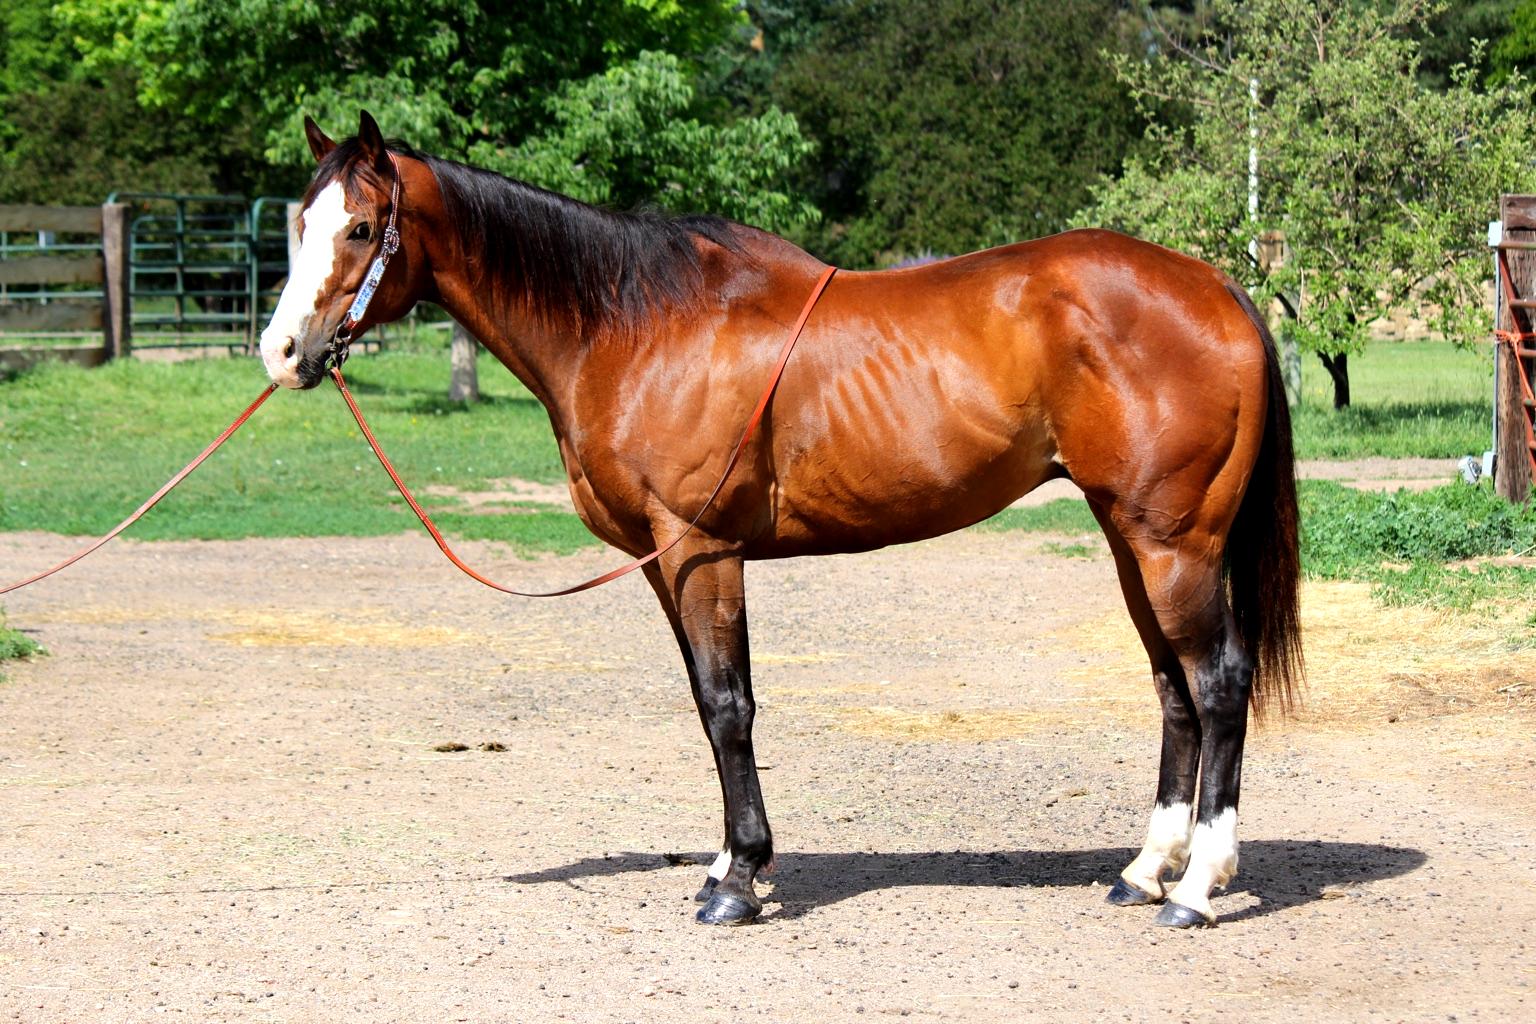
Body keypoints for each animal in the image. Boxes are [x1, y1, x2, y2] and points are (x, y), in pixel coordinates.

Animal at [259, 111, 1302, 929]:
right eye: (299, 222)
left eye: (361, 227)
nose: (282, 352)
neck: (636, 327)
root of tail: (1218, 287)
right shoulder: (662, 564)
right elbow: (706, 701)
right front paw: (728, 864)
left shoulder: (702, 551)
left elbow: (730, 707)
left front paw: (739, 883)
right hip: (1130, 541)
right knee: (1173, 688)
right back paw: (1145, 870)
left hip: (1174, 544)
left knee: (1218, 683)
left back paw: (1196, 888)